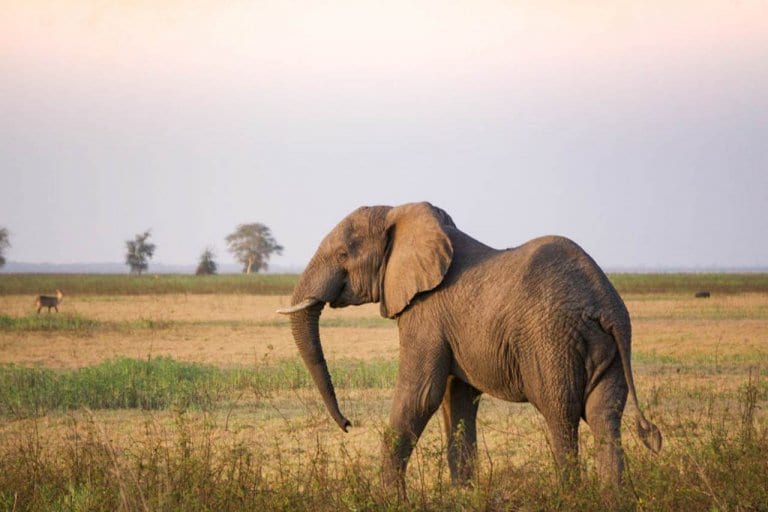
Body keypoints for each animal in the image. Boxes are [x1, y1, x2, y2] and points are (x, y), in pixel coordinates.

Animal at [278, 202, 661, 495]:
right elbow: (456, 398)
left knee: (560, 413)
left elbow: (421, 395)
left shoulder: (425, 313)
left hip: (551, 340)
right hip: (610, 348)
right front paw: (463, 494)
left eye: (343, 253)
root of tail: (605, 304)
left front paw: (389, 499)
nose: (347, 423)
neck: (400, 213)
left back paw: (570, 495)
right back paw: (612, 497)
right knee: (604, 414)